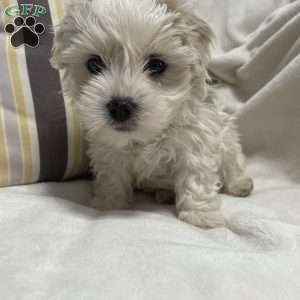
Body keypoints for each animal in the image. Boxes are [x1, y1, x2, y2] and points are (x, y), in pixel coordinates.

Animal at [51, 0, 253, 227]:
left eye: (157, 64)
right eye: (93, 64)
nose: (120, 106)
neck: (149, 134)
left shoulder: (196, 139)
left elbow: (196, 176)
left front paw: (200, 215)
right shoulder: (108, 148)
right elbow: (111, 174)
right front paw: (110, 202)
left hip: (228, 137)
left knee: (232, 162)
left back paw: (240, 184)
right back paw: (165, 194)